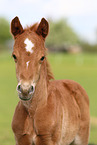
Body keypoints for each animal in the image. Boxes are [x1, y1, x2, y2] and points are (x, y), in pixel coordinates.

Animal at [10, 16, 89, 144]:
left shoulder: (48, 140)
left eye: (42, 57)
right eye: (14, 56)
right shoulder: (21, 139)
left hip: (81, 138)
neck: (33, 112)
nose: (25, 90)